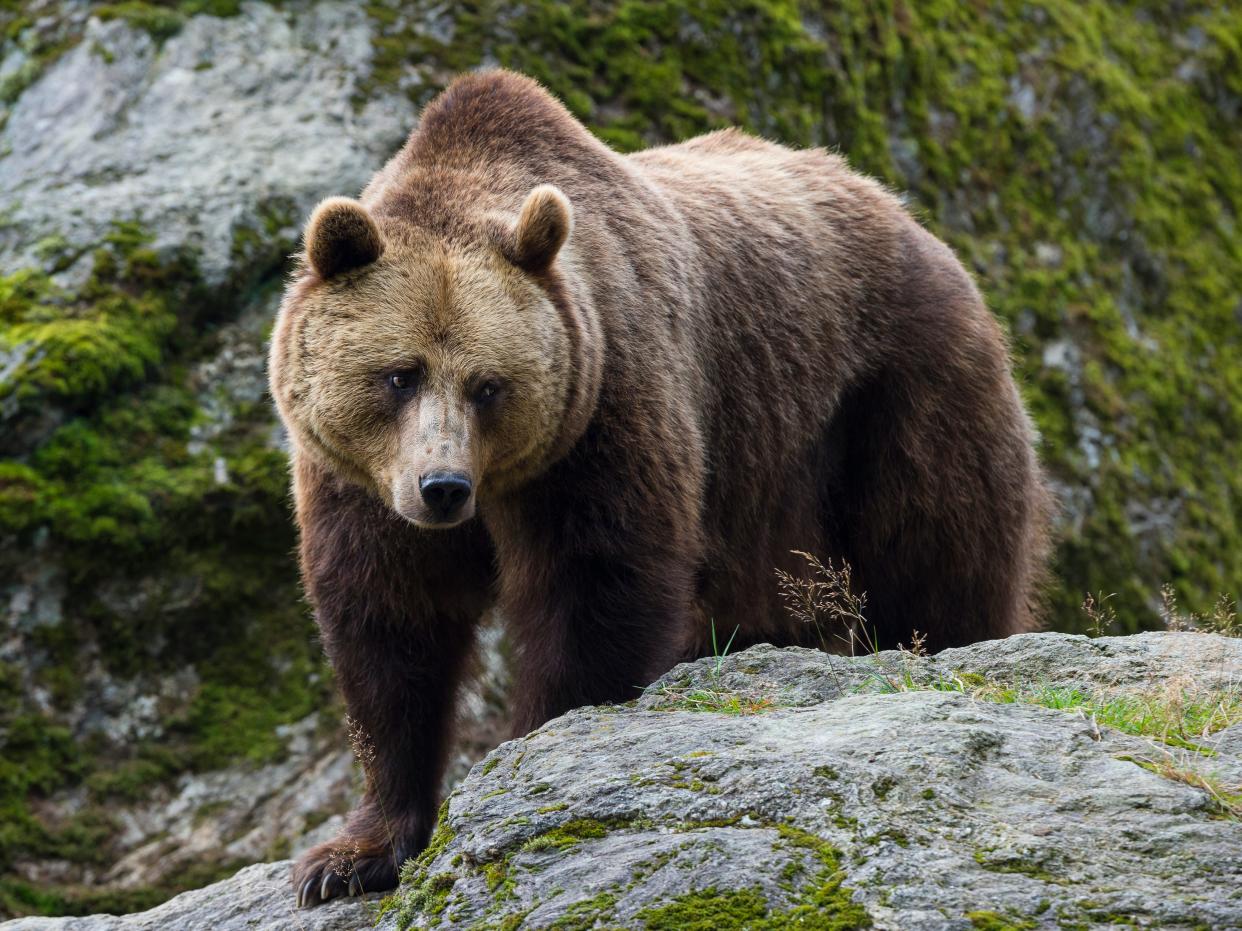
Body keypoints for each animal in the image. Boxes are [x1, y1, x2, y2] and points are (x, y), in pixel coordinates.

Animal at [269, 69, 1048, 908]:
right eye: (399, 374)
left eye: (488, 384)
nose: (442, 486)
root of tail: (906, 213)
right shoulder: (359, 482)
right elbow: (389, 626)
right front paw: (349, 855)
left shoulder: (606, 402)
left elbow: (596, 584)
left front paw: (535, 748)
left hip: (892, 394)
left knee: (939, 556)